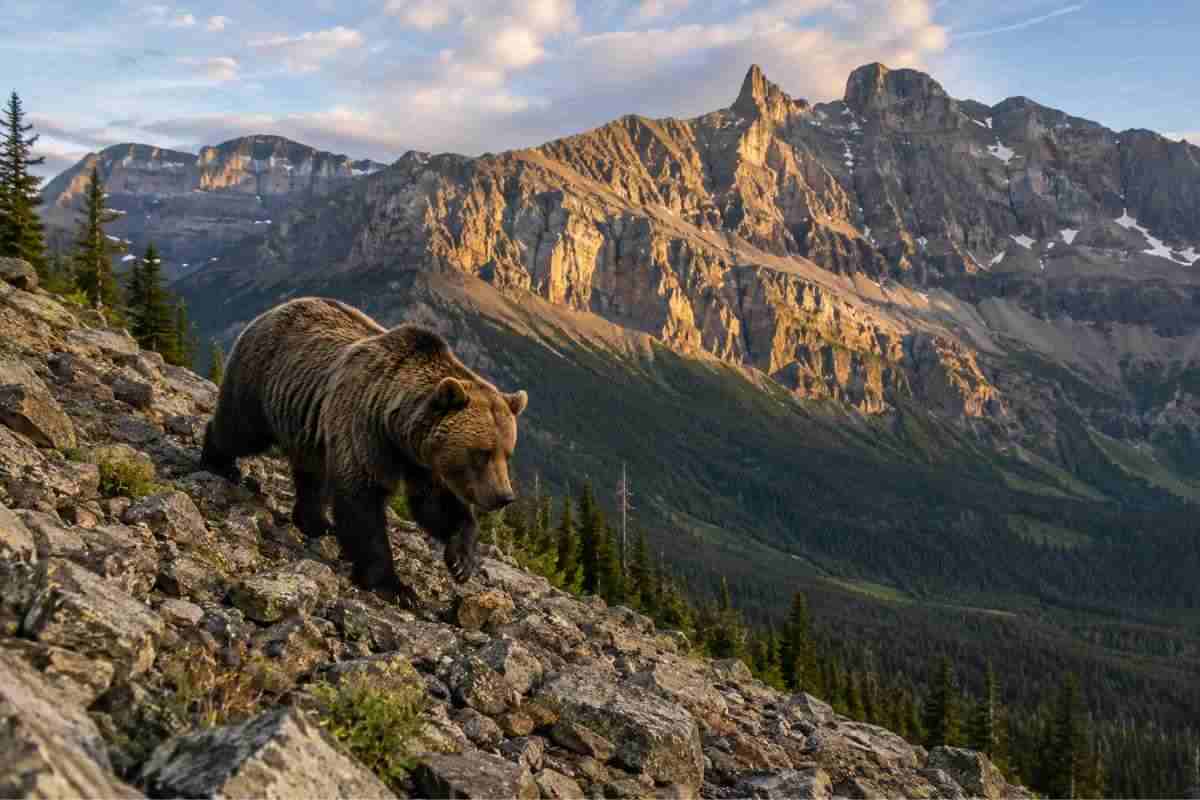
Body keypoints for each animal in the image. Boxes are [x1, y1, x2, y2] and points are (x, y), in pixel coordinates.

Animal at [201, 296, 528, 603]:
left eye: (507, 454)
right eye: (481, 452)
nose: (504, 496)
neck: (397, 428)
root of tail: (274, 309)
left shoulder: (422, 461)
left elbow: (434, 505)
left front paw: (462, 560)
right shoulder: (364, 429)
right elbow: (362, 503)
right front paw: (395, 586)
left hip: (309, 426)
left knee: (312, 472)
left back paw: (316, 522)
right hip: (261, 378)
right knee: (240, 429)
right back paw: (219, 463)